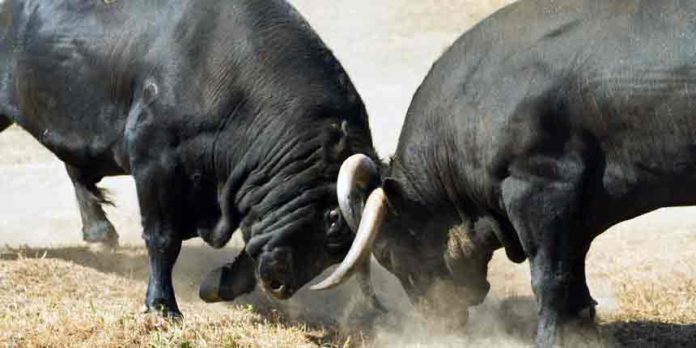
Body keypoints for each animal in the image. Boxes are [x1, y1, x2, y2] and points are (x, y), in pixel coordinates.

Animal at [0, 0, 380, 316]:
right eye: (333, 218)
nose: (279, 285)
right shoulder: (154, 163)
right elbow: (163, 239)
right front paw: (161, 306)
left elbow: (249, 246)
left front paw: (218, 284)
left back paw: (100, 232)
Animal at [316, 0, 696, 346]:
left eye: (387, 254)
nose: (436, 319)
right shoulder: (577, 213)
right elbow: (574, 275)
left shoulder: (541, 190)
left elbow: (550, 277)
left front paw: (550, 338)